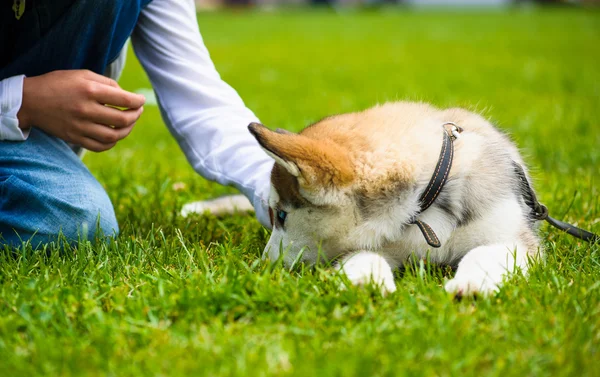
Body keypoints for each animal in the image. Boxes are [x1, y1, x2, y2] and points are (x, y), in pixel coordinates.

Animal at [246, 101, 540, 296]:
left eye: (281, 215)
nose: (263, 266)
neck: (424, 208)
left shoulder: (514, 239)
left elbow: (484, 253)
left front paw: (471, 286)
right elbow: (363, 257)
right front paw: (365, 283)